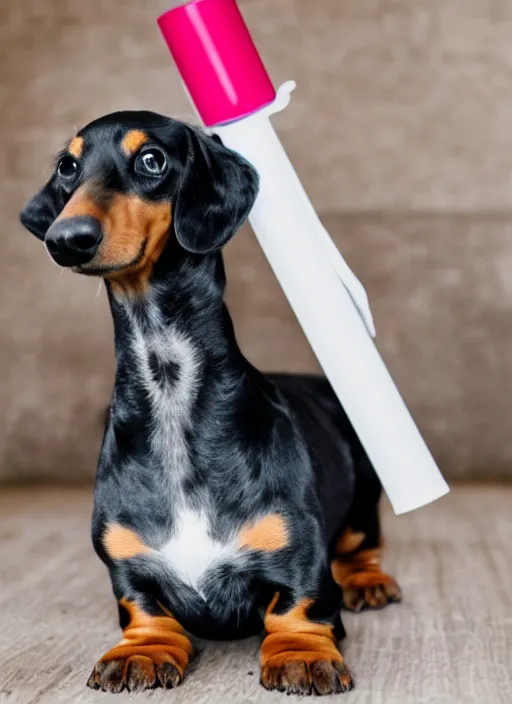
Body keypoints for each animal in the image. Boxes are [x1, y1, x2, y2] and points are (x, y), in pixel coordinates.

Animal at [20, 111, 402, 700]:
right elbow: (143, 612)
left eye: (152, 159)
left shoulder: (301, 559)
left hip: (364, 492)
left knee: (362, 544)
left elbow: (299, 608)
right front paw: (142, 651)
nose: (67, 239)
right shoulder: (127, 569)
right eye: (67, 166)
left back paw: (368, 581)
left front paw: (301, 654)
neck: (171, 390)